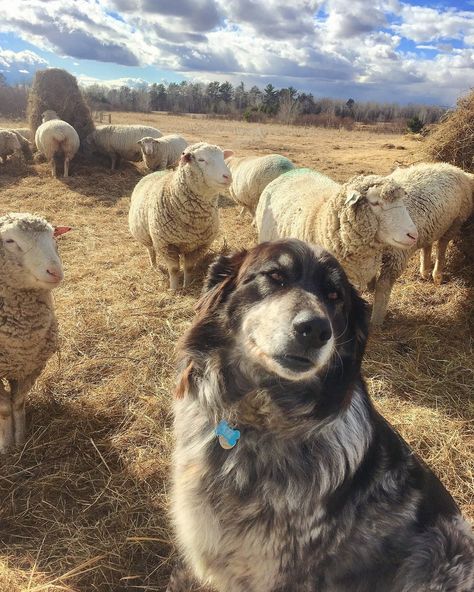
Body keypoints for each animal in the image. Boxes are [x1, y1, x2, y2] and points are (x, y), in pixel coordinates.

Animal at [0, 215, 70, 450]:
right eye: (9, 241)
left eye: (53, 236)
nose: (55, 272)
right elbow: (4, 408)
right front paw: (6, 446)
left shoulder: (33, 365)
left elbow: (18, 402)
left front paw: (20, 439)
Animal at [130, 141, 233, 290]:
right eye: (201, 160)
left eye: (222, 158)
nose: (228, 176)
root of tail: (158, 171)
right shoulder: (166, 245)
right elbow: (174, 270)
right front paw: (174, 289)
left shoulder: (199, 245)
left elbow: (189, 267)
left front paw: (187, 285)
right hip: (146, 236)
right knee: (151, 251)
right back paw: (154, 266)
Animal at [370, 162, 474, 326]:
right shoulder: (455, 222)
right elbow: (442, 246)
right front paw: (436, 274)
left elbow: (429, 245)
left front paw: (426, 270)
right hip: (397, 253)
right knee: (384, 284)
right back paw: (376, 320)